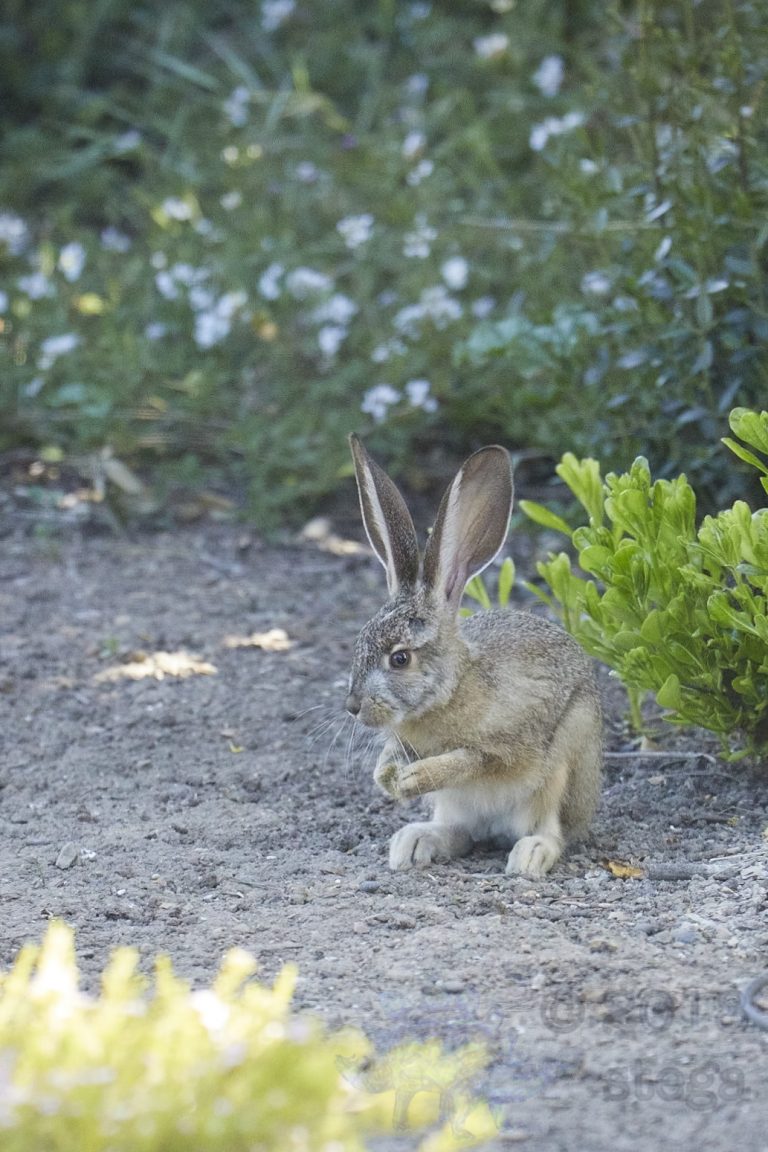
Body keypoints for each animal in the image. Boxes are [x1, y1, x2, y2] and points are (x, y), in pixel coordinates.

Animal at [345, 433, 602, 878]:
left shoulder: (513, 742)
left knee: (551, 830)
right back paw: (414, 842)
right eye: (359, 644)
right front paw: (386, 777)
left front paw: (415, 778)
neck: (451, 690)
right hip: (456, 805)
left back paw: (530, 856)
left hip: (566, 760)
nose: (353, 706)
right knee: (460, 832)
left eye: (400, 658)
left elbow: (473, 760)